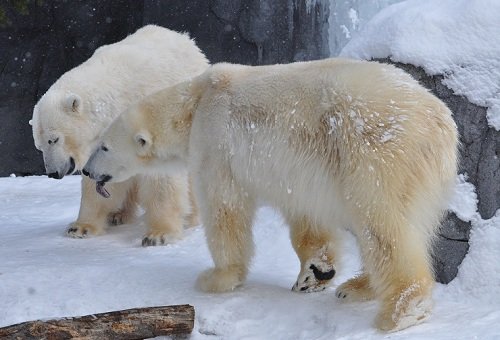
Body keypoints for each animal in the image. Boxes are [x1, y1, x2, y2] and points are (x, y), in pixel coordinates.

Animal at [32, 25, 209, 246]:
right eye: (39, 146)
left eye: (54, 139)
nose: (53, 173)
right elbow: (98, 177)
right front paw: (80, 227)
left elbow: (160, 177)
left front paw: (159, 234)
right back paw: (118, 215)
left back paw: (192, 217)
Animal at [84, 57, 458, 330]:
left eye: (103, 146)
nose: (86, 170)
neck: (194, 103)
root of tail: (440, 121)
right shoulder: (300, 170)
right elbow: (306, 214)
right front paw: (315, 272)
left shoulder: (215, 140)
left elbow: (225, 208)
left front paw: (216, 278)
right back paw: (357, 287)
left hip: (374, 151)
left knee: (381, 223)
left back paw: (400, 310)